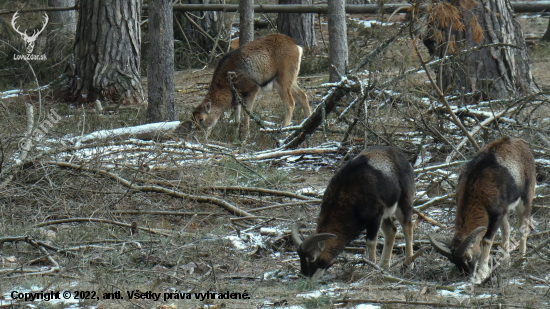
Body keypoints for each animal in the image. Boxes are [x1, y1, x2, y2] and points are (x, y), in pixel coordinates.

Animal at [294, 145, 414, 280]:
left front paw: (371, 268)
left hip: (403, 204)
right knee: (391, 231)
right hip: (386, 215)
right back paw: (384, 266)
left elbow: (371, 243)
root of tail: (401, 156)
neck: (348, 193)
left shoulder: (375, 218)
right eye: (300, 256)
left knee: (407, 228)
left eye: (312, 258)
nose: (304, 278)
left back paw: (408, 266)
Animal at [432, 137, 540, 282]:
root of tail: (521, 145)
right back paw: (506, 262)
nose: (467, 275)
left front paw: (483, 272)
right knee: (507, 230)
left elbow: (486, 241)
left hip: (525, 200)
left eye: (469, 258)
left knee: (523, 227)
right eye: (454, 261)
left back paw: (522, 260)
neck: (476, 185)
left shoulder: (496, 216)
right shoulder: (500, 213)